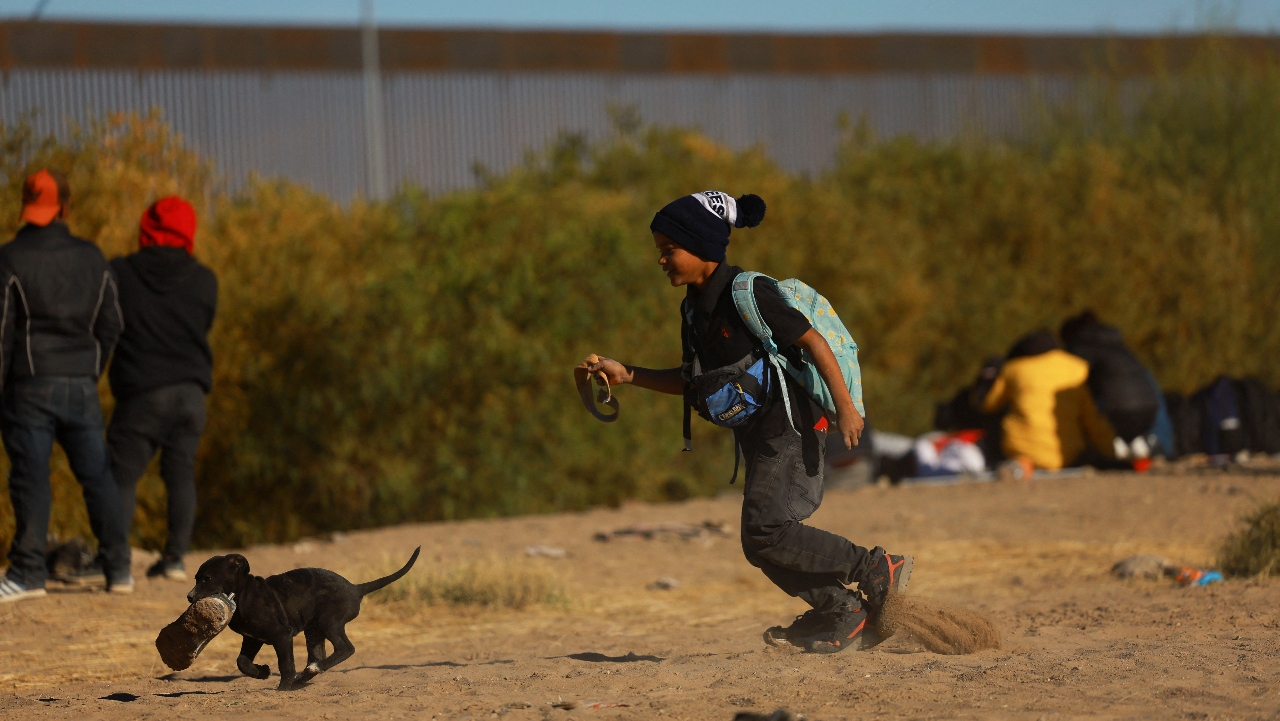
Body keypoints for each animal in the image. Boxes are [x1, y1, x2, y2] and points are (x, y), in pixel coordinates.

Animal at [186, 548, 417, 686]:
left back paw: (307, 674)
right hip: (314, 630)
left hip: (329, 621)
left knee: (345, 648)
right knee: (318, 654)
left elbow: (286, 664)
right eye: (196, 578)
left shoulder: (282, 635)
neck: (243, 593)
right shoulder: (251, 638)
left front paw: (284, 687)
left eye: (207, 579)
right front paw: (262, 672)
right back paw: (305, 676)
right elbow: (242, 661)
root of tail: (355, 588)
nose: (189, 596)